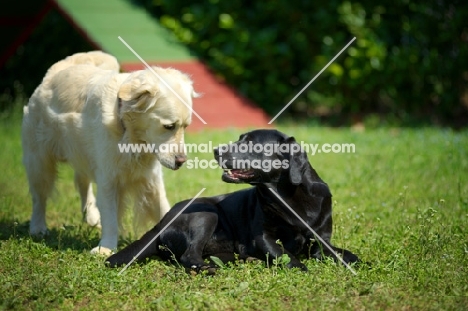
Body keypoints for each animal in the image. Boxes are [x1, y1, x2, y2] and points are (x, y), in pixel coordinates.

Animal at [22, 51, 197, 256]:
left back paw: (91, 216)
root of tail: (55, 71)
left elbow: (164, 209)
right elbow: (111, 217)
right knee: (39, 197)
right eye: (169, 126)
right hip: (39, 162)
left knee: (82, 181)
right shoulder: (108, 178)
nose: (181, 161)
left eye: (186, 126)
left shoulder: (150, 179)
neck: (128, 132)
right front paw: (106, 248)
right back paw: (38, 227)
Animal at [108, 130, 360, 272]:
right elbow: (285, 254)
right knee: (188, 256)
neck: (289, 197)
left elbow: (345, 254)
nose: (215, 150)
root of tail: (160, 223)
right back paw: (208, 268)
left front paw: (358, 263)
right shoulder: (263, 238)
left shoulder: (321, 241)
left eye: (249, 142)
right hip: (206, 214)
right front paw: (301, 269)